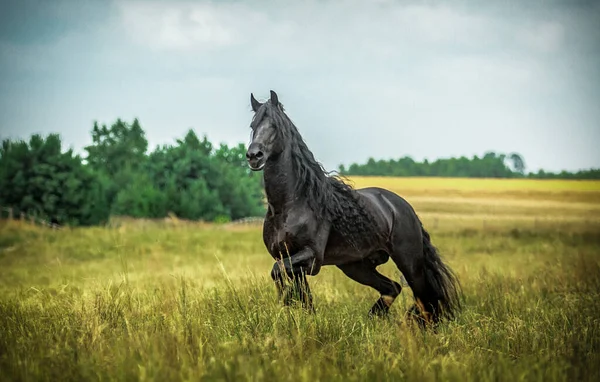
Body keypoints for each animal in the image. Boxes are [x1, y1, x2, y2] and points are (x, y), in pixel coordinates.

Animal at [246, 90, 462, 326]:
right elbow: (302, 296)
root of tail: (403, 207)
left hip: (410, 263)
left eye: (274, 125)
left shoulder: (311, 258)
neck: (290, 205)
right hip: (355, 266)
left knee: (425, 300)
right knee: (393, 288)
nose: (254, 156)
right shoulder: (288, 259)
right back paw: (373, 319)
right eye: (253, 125)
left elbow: (280, 277)